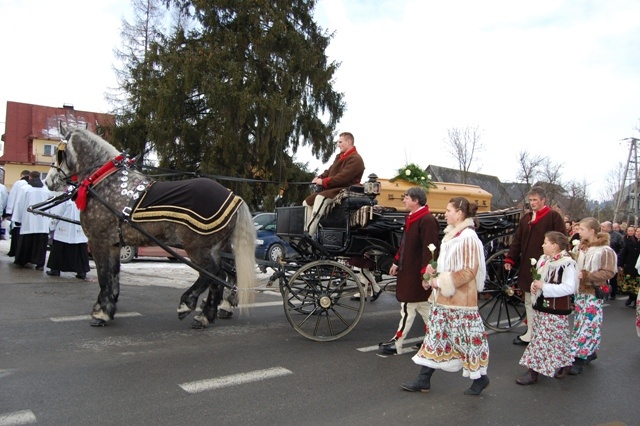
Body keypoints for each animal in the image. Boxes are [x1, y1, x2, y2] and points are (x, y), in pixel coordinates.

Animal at [45, 124, 255, 330]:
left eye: (58, 152)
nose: (48, 181)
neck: (104, 182)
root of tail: (234, 197)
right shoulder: (114, 244)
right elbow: (114, 276)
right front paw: (109, 308)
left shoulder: (99, 241)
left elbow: (104, 276)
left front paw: (101, 313)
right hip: (215, 248)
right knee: (218, 278)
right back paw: (205, 316)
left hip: (197, 247)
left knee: (213, 273)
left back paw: (187, 304)